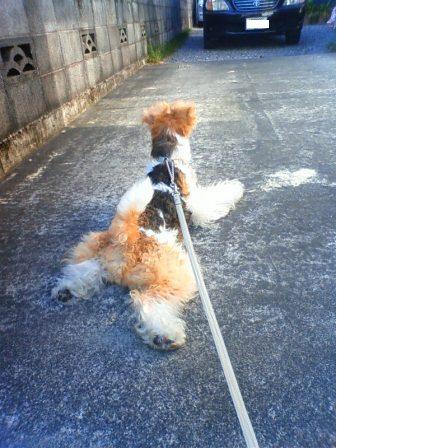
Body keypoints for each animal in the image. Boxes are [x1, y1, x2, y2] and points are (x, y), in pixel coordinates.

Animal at [52, 101, 244, 350]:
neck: (167, 160)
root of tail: (128, 235)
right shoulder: (197, 204)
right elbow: (217, 196)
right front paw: (236, 188)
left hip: (95, 245)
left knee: (87, 268)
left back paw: (66, 289)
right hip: (177, 271)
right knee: (150, 302)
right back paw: (164, 336)